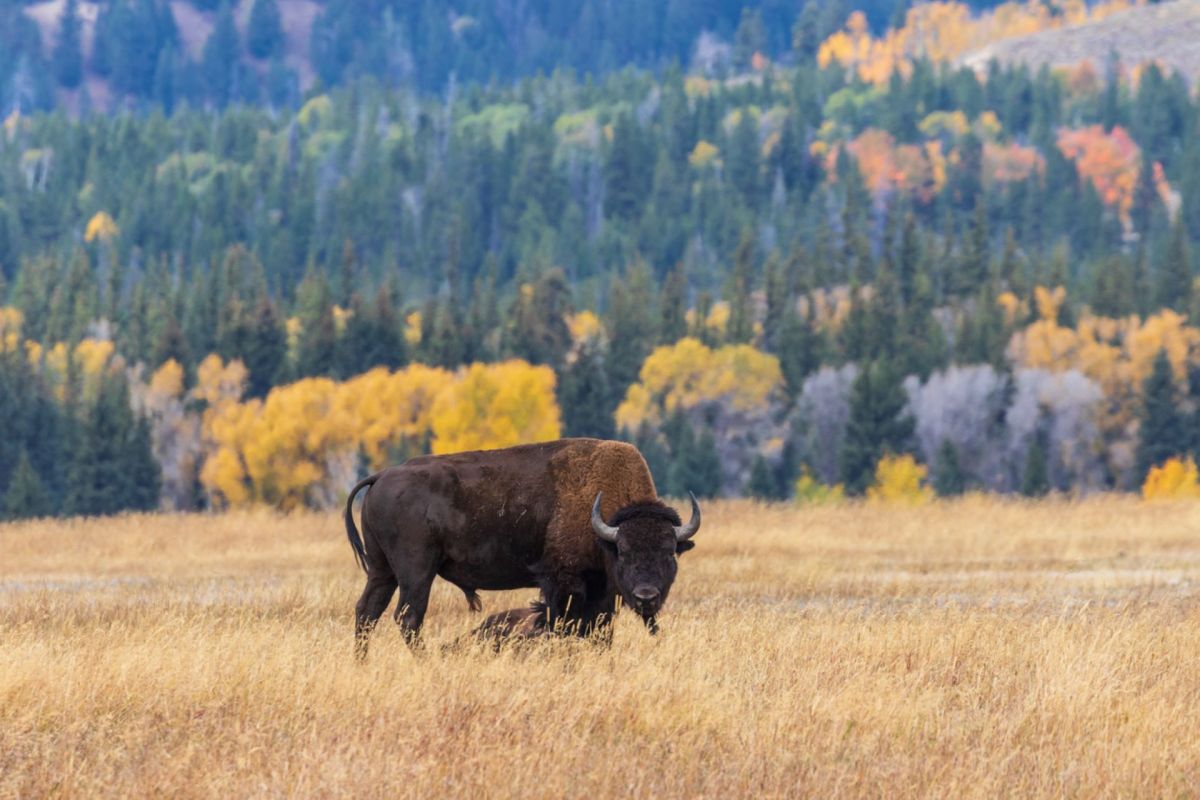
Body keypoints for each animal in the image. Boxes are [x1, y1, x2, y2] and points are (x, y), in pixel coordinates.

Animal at [343, 438, 700, 657]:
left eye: (669, 553)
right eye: (623, 551)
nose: (646, 597)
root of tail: (382, 476)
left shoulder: (601, 592)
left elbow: (599, 630)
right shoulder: (562, 584)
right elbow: (563, 625)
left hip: (382, 570)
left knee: (367, 611)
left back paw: (362, 663)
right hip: (416, 572)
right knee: (408, 617)